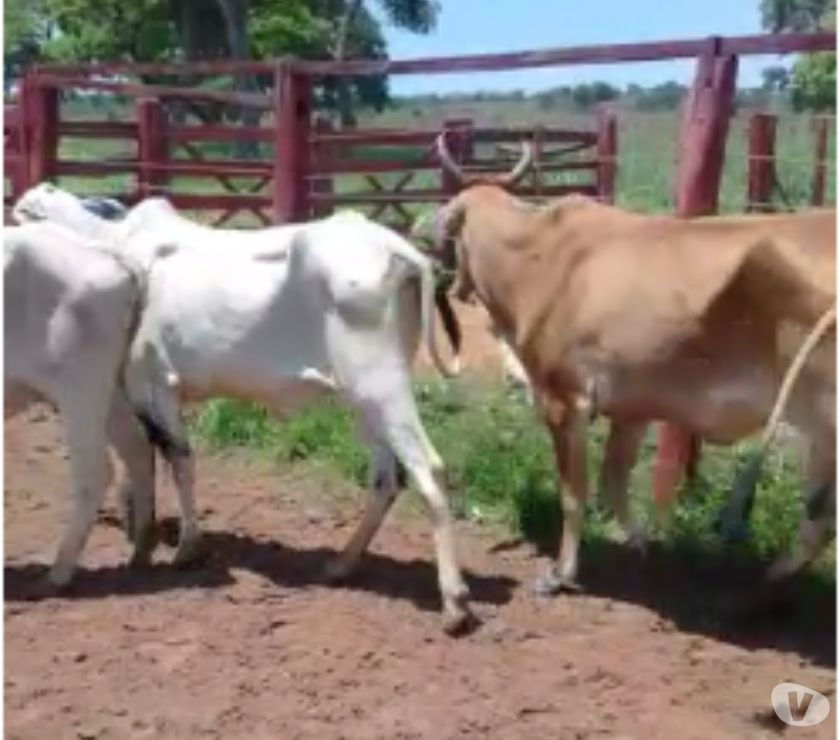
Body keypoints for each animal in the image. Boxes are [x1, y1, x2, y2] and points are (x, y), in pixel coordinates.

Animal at [5, 222, 156, 587]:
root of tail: (109, 255)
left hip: (80, 389)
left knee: (96, 470)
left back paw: (59, 571)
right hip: (108, 390)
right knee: (137, 447)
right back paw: (140, 550)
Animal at [433, 132, 835, 595]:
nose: (456, 286)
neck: (538, 256)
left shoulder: (563, 400)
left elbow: (574, 494)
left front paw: (562, 573)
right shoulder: (633, 408)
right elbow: (613, 483)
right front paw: (640, 544)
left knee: (820, 519)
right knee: (819, 520)